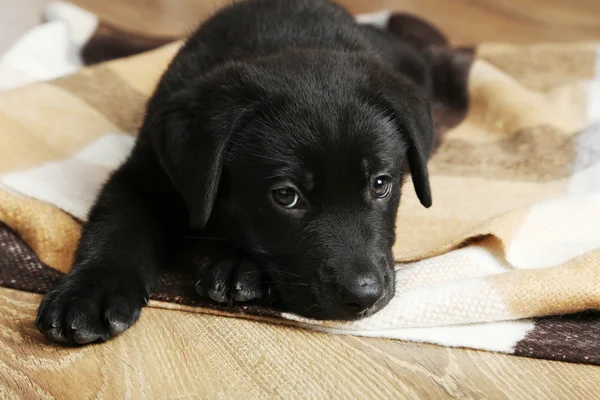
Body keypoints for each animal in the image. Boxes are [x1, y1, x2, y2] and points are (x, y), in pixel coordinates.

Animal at [36, 0, 432, 344]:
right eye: (285, 196)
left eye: (380, 185)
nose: (364, 297)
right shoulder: (147, 171)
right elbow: (116, 224)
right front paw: (89, 293)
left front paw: (238, 266)